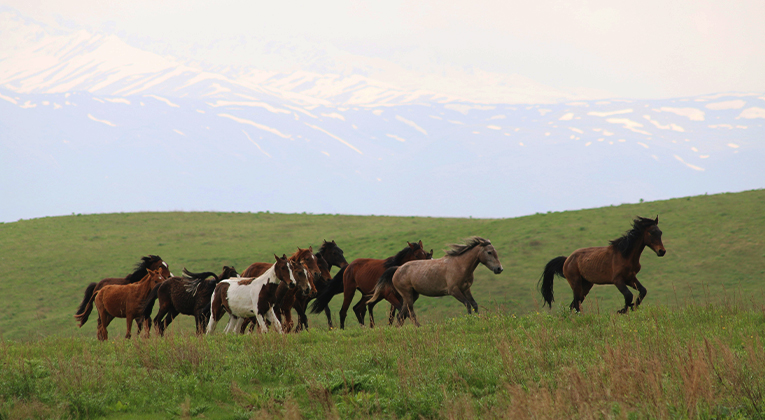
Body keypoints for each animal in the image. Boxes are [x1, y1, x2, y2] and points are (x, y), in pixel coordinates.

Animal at [369, 237, 503, 327]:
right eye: (489, 252)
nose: (499, 269)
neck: (459, 265)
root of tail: (397, 268)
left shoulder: (466, 289)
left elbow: (474, 304)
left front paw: (477, 320)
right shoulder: (454, 290)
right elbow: (467, 304)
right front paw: (469, 320)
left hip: (412, 295)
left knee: (401, 314)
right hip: (407, 294)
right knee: (410, 312)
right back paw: (418, 327)